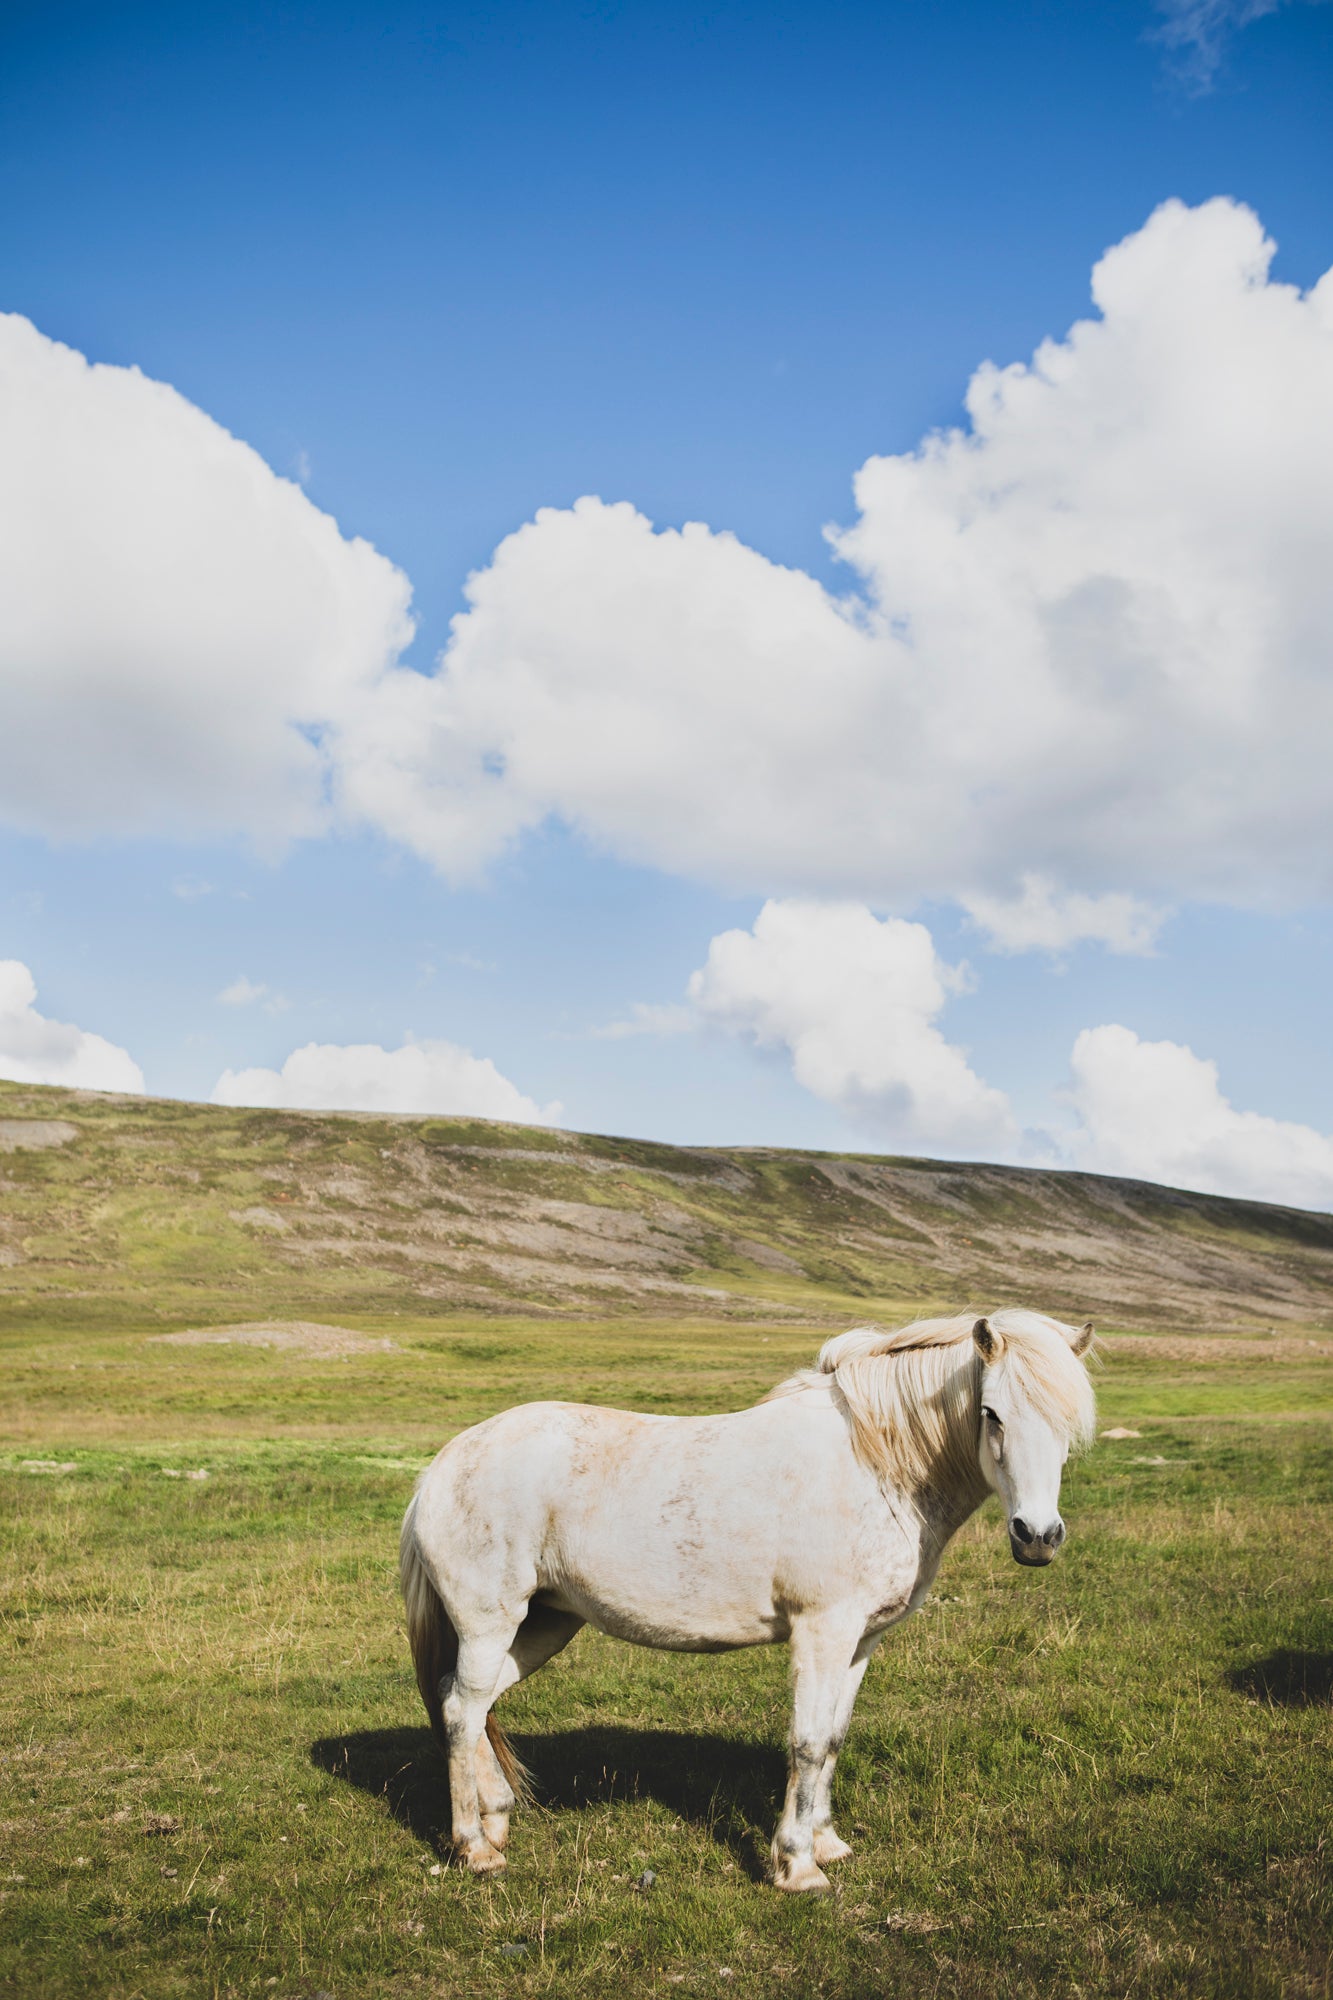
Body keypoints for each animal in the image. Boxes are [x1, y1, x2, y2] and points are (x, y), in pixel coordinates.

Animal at [399, 1307, 1096, 1892]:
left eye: (1068, 1425)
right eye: (993, 1413)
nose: (1037, 1537)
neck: (874, 1466)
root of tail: (443, 1466)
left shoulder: (860, 1641)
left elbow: (833, 1738)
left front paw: (828, 1842)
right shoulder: (822, 1632)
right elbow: (807, 1743)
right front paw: (798, 1865)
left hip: (542, 1625)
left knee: (470, 1704)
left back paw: (495, 1820)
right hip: (490, 1624)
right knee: (462, 1711)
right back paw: (474, 1849)